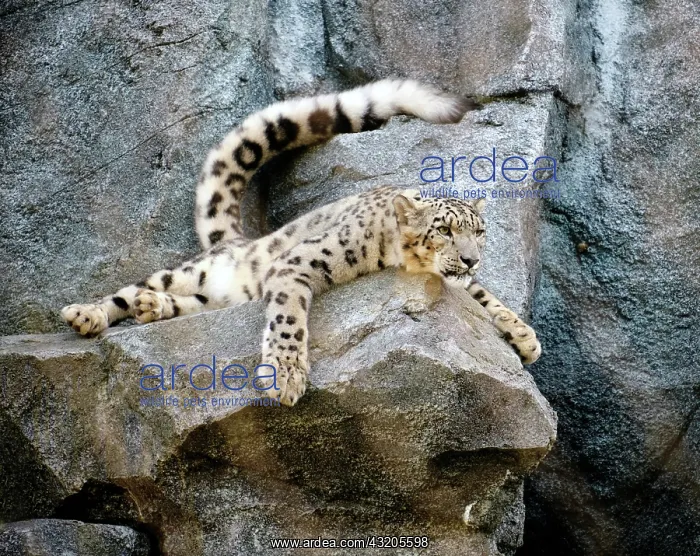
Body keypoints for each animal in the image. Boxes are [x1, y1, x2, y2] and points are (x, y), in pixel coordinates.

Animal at [61, 79, 541, 406]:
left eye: (478, 231)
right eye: (444, 230)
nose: (471, 258)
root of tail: (238, 241)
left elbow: (484, 295)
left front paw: (524, 335)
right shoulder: (300, 260)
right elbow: (288, 317)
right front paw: (286, 377)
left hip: (212, 299)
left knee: (188, 306)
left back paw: (153, 307)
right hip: (190, 270)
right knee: (129, 291)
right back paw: (87, 314)